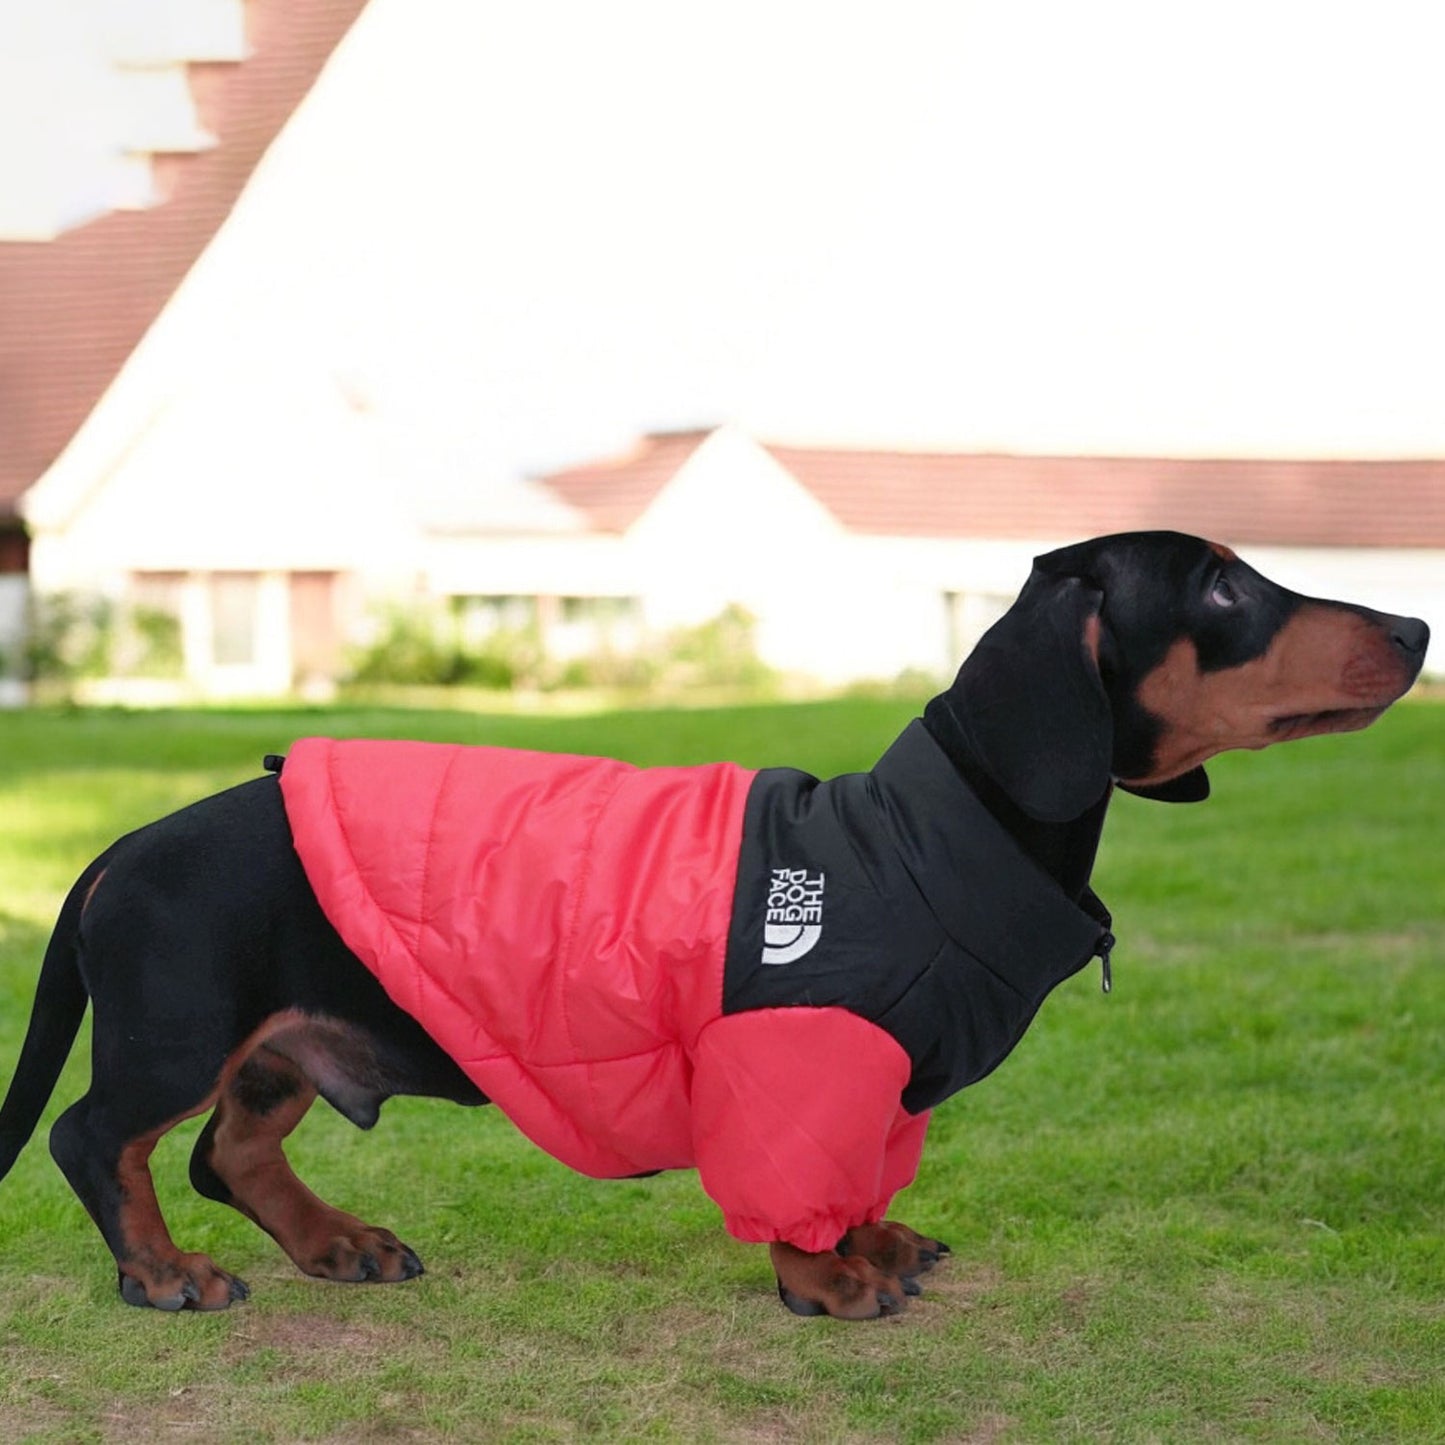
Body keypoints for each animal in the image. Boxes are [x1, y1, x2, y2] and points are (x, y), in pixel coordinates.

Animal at [0, 534, 1421, 1323]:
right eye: (1220, 587)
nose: (1413, 624)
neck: (929, 833)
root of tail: (117, 848)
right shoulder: (798, 1053)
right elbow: (793, 1181)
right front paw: (825, 1279)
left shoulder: (875, 1077)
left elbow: (860, 1171)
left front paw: (871, 1240)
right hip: (181, 1026)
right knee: (98, 1138)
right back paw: (163, 1273)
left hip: (280, 1041)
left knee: (225, 1152)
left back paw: (333, 1241)